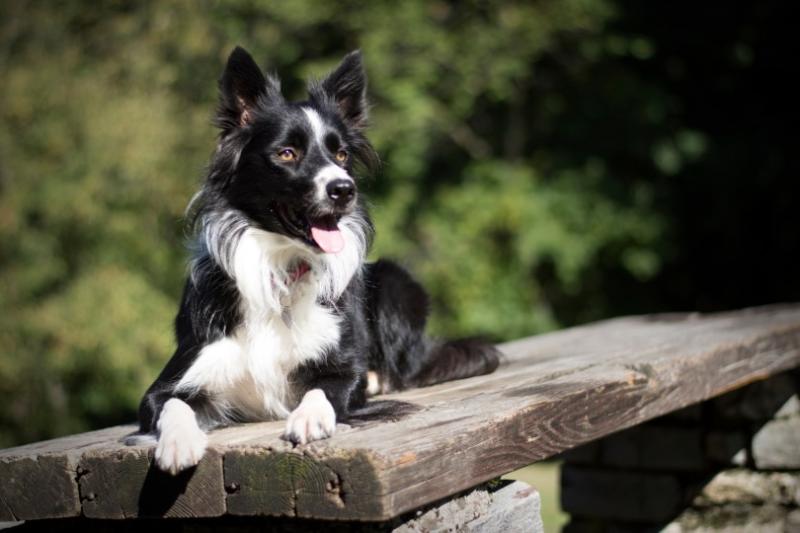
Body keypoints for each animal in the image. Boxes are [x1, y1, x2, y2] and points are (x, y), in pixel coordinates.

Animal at [138, 47, 500, 474]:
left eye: (341, 154)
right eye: (287, 153)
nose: (345, 189)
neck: (280, 264)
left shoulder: (341, 371)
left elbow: (323, 390)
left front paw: (310, 417)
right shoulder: (170, 382)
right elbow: (171, 404)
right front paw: (179, 442)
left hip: (396, 281)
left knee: (403, 369)